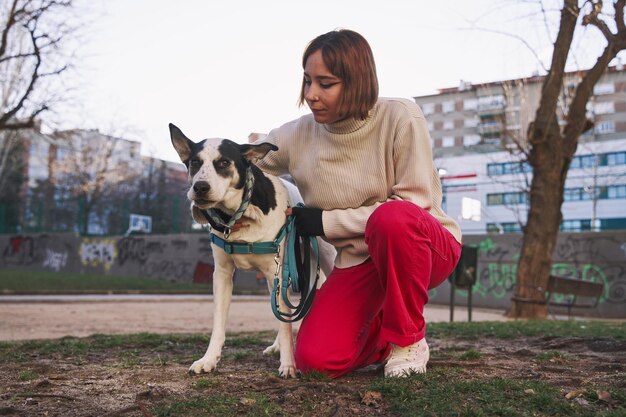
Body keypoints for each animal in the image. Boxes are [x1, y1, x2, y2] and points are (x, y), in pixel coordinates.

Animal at [168, 122, 334, 376]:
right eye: (195, 162)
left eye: (224, 162)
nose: (200, 187)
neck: (240, 217)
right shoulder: (223, 274)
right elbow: (219, 323)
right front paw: (208, 359)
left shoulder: (276, 271)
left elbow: (285, 325)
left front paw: (288, 364)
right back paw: (276, 346)